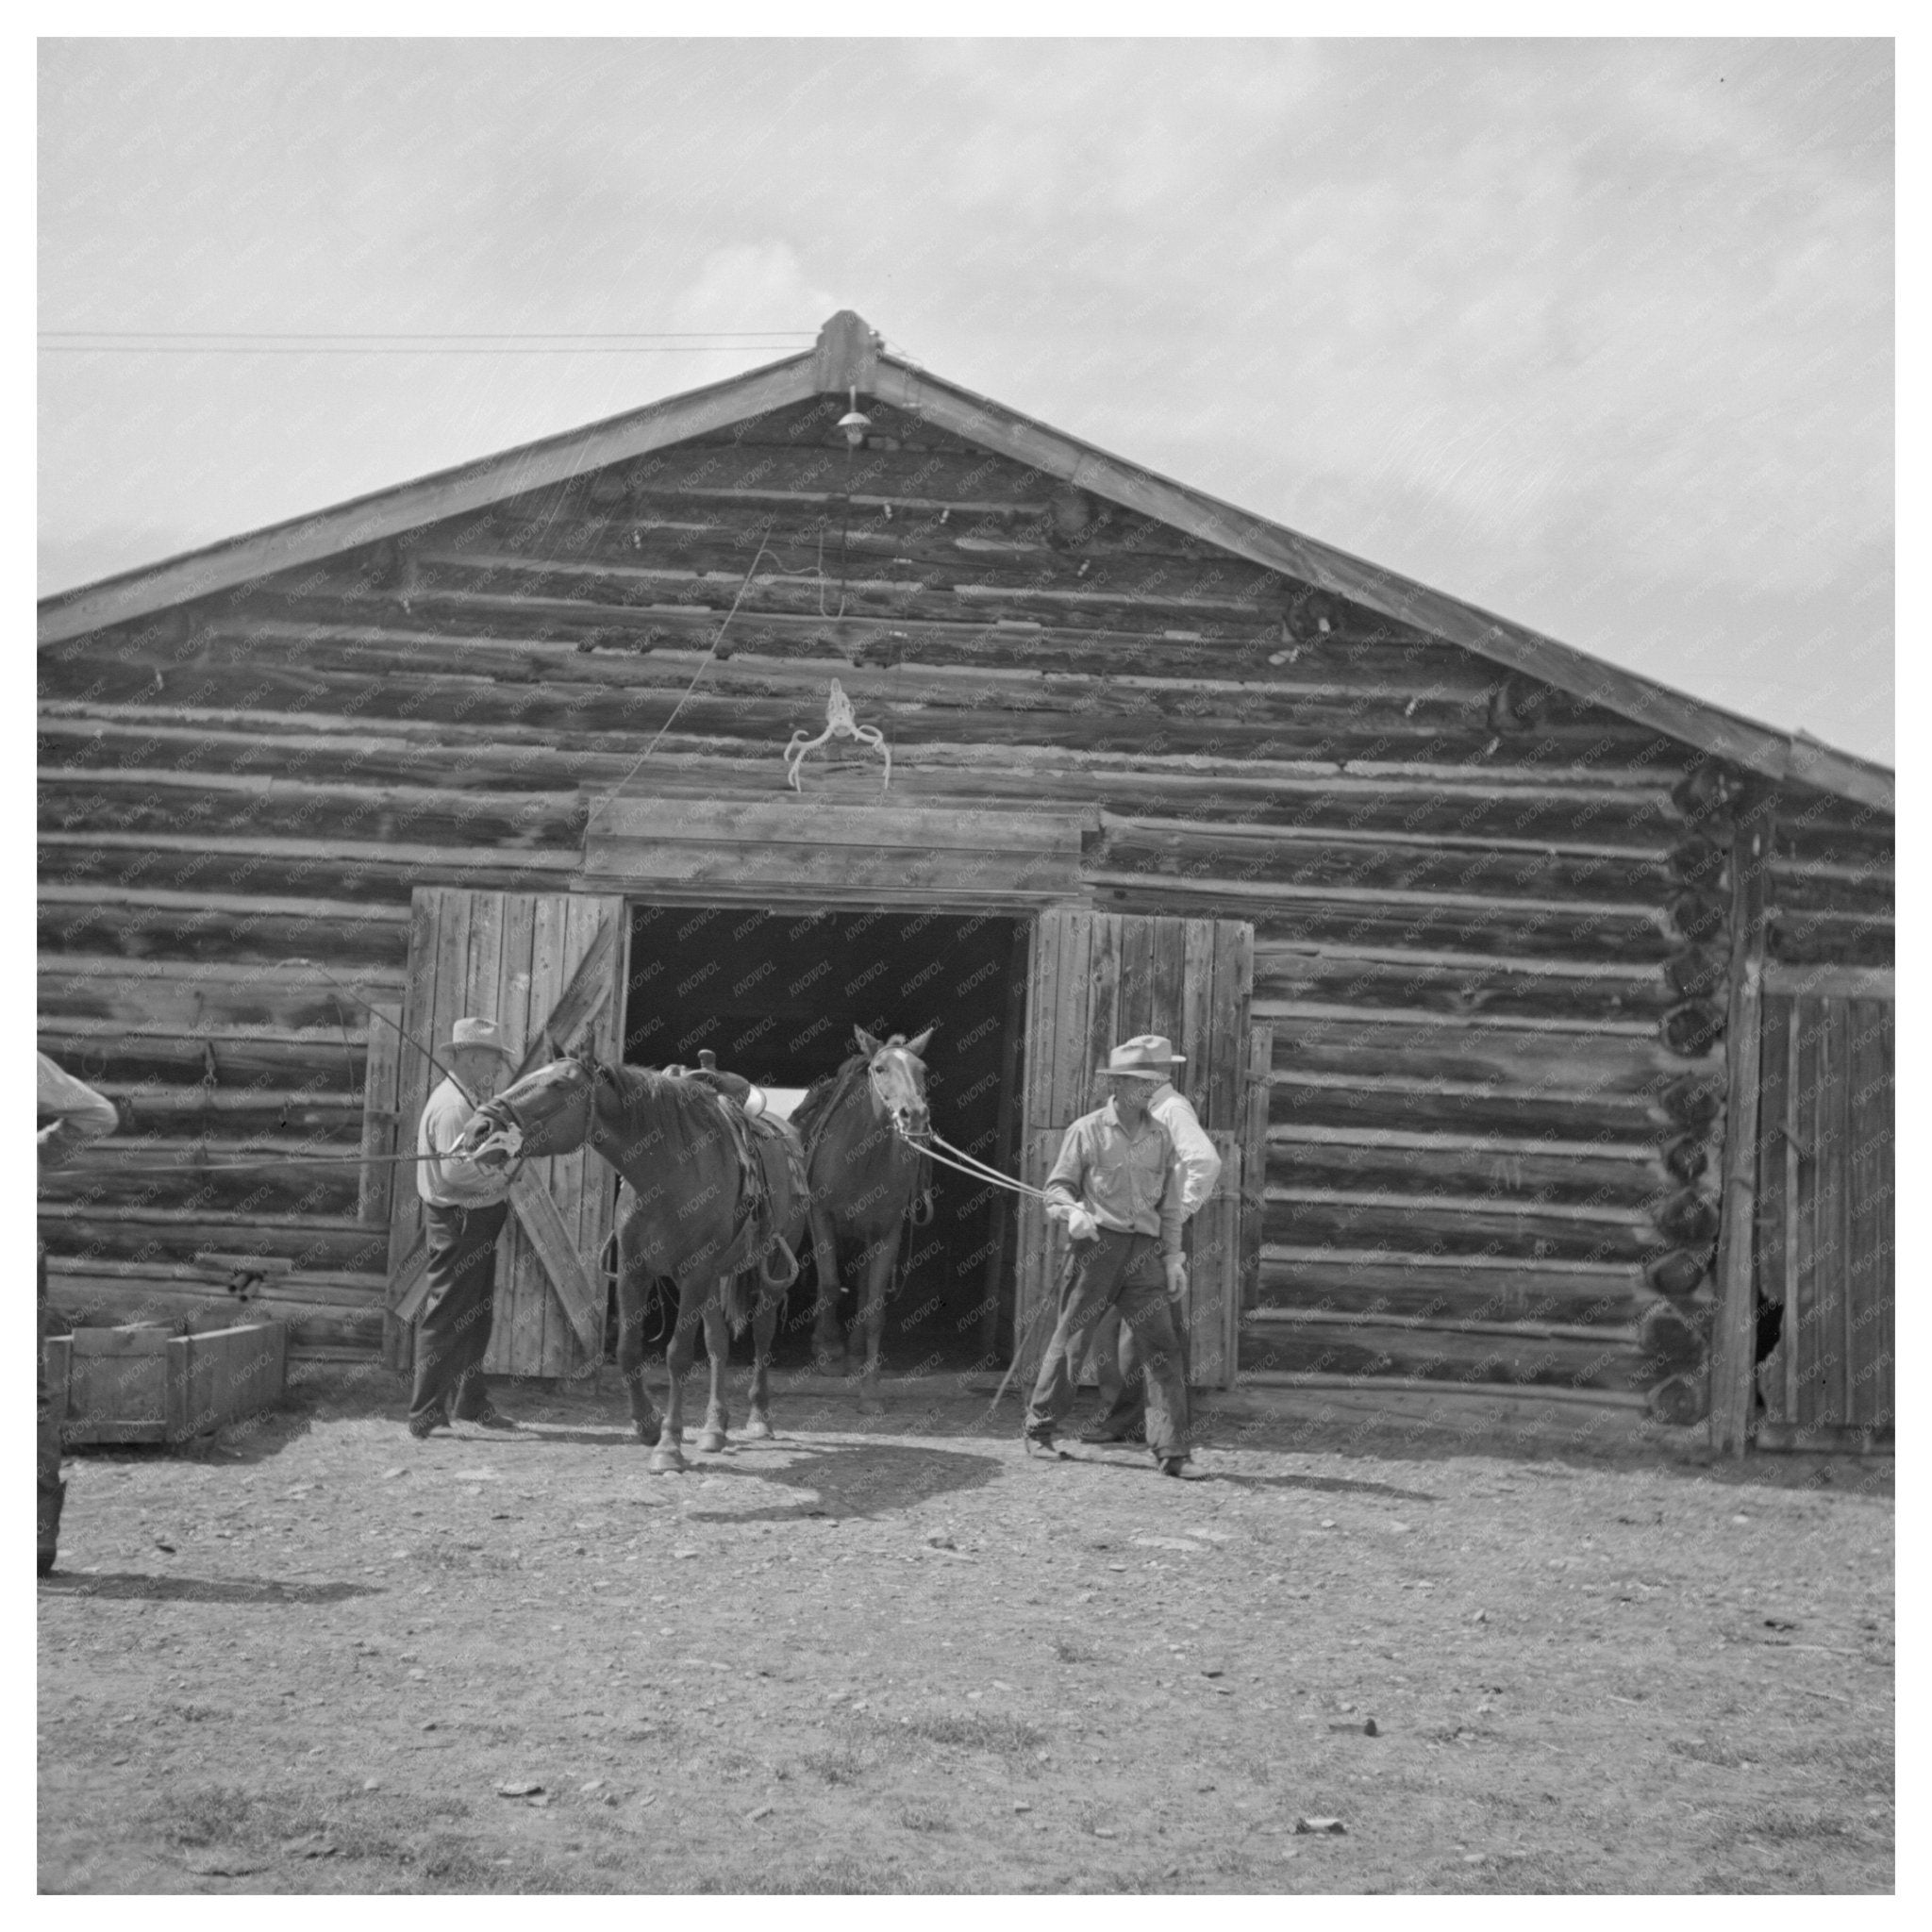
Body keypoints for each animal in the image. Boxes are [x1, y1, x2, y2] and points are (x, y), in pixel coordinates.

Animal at [458, 1051, 799, 1468]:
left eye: (558, 1083)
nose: (478, 1127)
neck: (669, 1171)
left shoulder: (695, 1271)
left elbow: (678, 1356)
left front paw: (669, 1445)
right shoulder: (635, 1270)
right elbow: (627, 1350)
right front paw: (647, 1424)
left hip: (770, 1270)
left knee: (763, 1332)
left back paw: (759, 1419)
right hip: (715, 1277)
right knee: (717, 1341)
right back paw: (714, 1428)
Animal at [788, 1027, 931, 1406]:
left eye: (922, 1070)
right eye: (880, 1068)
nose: (914, 1114)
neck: (863, 1159)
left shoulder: (887, 1233)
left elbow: (874, 1310)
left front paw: (870, 1391)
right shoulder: (821, 1217)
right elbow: (830, 1285)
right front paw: (829, 1352)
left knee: (865, 1291)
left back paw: (853, 1351)